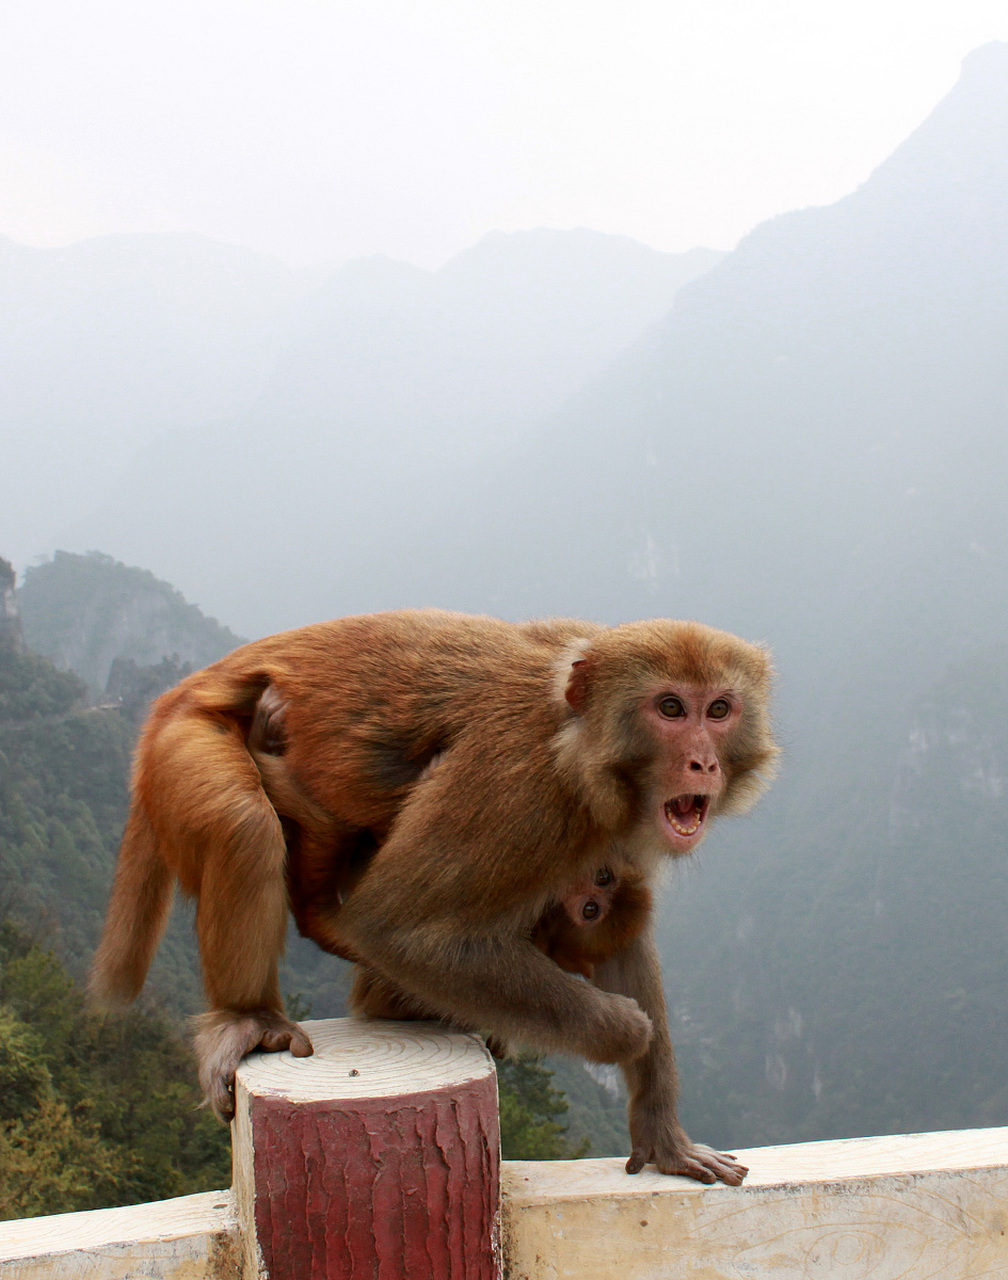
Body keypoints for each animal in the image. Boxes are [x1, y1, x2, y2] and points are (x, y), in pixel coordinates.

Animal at [90, 606, 777, 1177]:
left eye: (719, 710)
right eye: (671, 709)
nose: (703, 763)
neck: (575, 739)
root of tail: (176, 697)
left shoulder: (613, 828)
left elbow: (622, 946)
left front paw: (662, 1132)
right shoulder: (518, 787)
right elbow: (400, 930)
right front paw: (623, 1031)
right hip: (185, 744)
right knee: (243, 824)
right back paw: (248, 1014)